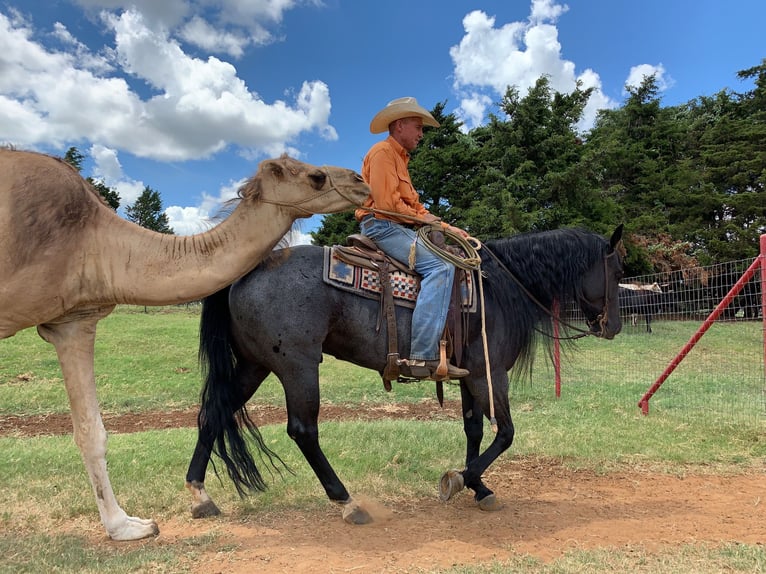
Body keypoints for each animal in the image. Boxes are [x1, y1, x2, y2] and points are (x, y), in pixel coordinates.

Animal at [0, 147, 372, 540]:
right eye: (316, 177)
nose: (360, 182)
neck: (94, 242)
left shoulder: (73, 321)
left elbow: (92, 432)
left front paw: (126, 527)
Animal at [184, 225, 624, 528]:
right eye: (617, 269)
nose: (614, 326)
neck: (498, 290)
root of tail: (247, 270)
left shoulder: (469, 375)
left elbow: (474, 430)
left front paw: (479, 488)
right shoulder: (490, 373)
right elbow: (505, 433)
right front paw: (458, 480)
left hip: (254, 365)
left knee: (213, 414)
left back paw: (200, 495)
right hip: (298, 365)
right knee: (303, 430)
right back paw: (349, 503)